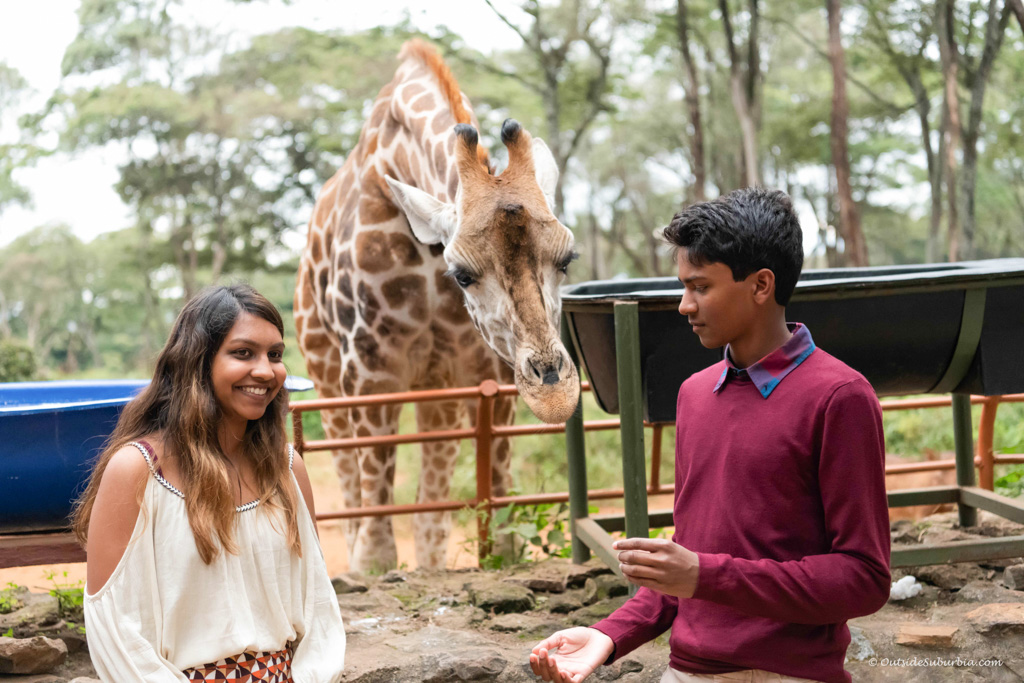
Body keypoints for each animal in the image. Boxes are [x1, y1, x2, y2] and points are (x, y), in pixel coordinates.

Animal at [296, 38, 581, 573]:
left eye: (567, 259)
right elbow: (375, 508)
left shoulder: (484, 366)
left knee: (431, 503)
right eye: (462, 273)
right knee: (349, 483)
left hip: (438, 388)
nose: (556, 397)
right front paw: (369, 568)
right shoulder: (368, 368)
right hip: (324, 372)